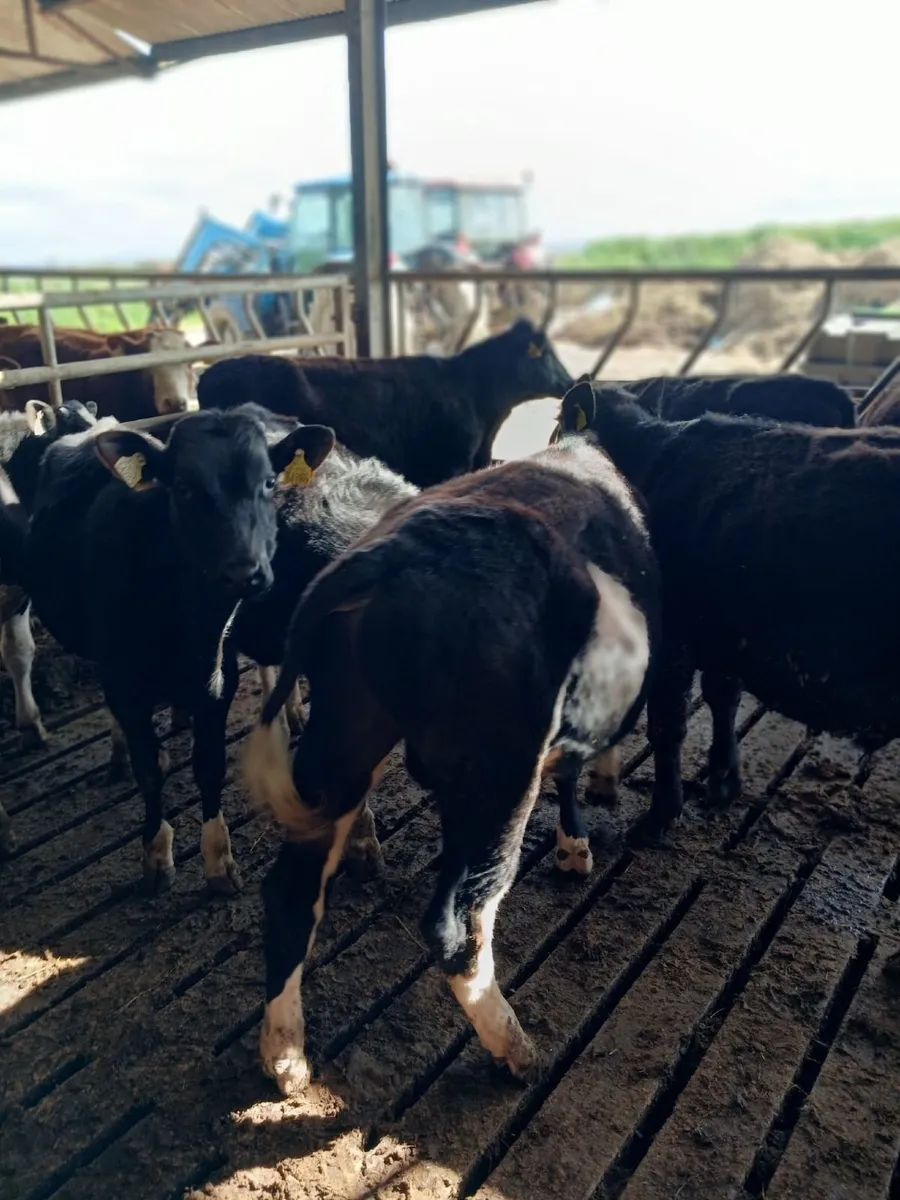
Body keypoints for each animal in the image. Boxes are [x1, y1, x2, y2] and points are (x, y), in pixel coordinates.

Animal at [27, 405, 335, 892]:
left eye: (269, 482)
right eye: (184, 489)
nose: (244, 572)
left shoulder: (219, 678)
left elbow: (208, 764)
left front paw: (218, 858)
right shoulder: (123, 682)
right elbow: (150, 768)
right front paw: (155, 853)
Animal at [242, 436, 658, 1094]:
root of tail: (384, 559)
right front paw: (576, 845)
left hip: (344, 742)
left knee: (291, 891)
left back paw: (285, 1056)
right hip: (499, 775)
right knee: (459, 923)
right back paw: (517, 1050)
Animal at [559, 378, 900, 844]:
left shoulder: (675, 639)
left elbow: (668, 725)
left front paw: (659, 816)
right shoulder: (724, 635)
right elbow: (724, 698)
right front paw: (723, 780)